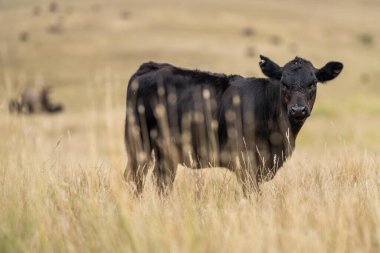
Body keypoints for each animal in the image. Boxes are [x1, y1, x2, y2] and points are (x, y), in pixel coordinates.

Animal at [124, 54, 342, 194]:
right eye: (284, 83)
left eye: (312, 84)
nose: (298, 110)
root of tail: (151, 66)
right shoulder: (246, 163)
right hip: (139, 143)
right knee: (135, 178)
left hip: (165, 151)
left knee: (161, 180)